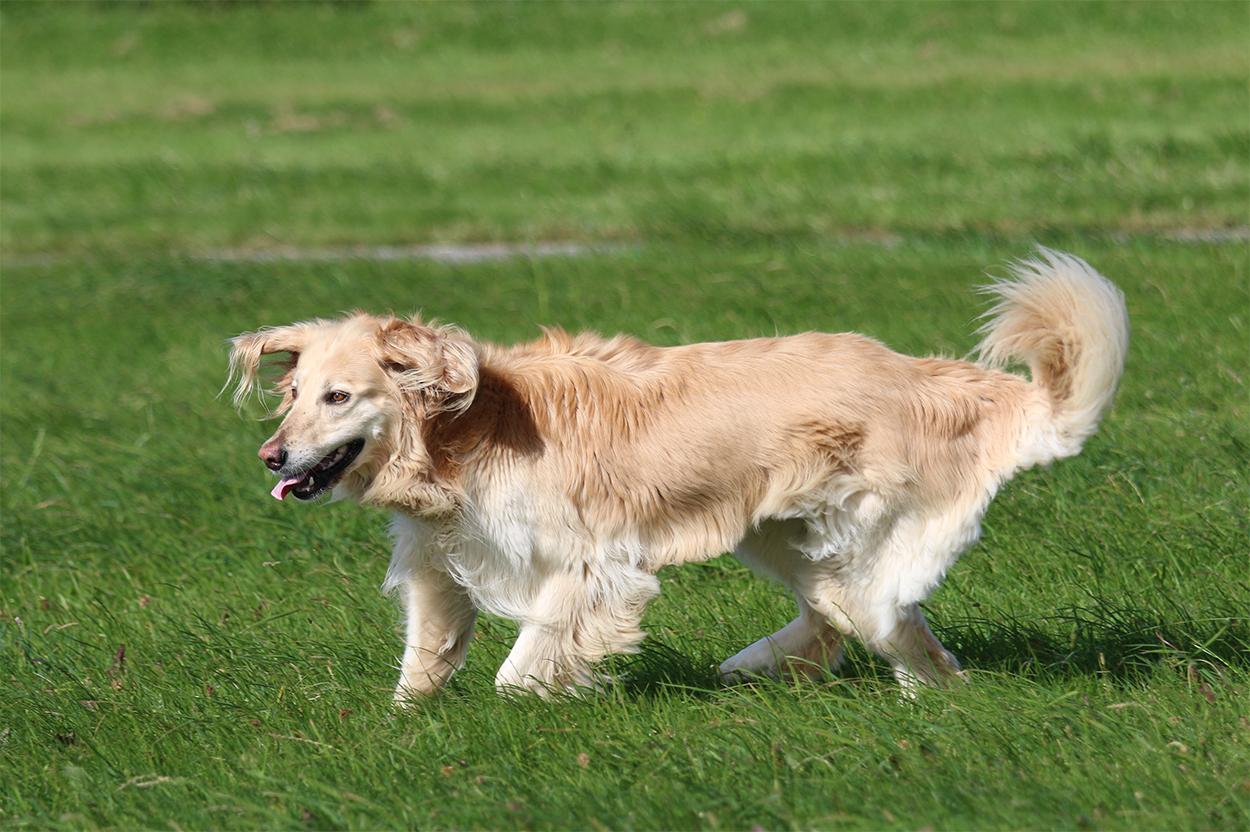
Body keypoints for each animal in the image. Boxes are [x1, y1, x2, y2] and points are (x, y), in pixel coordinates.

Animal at [228, 249, 1128, 701]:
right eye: (294, 395)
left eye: (340, 396)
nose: (272, 458)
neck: (462, 434)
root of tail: (949, 384)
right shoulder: (440, 564)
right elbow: (424, 662)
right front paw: (406, 726)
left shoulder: (592, 566)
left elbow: (522, 667)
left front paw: (539, 697)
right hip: (784, 538)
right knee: (854, 622)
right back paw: (776, 667)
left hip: (860, 540)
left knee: (885, 622)